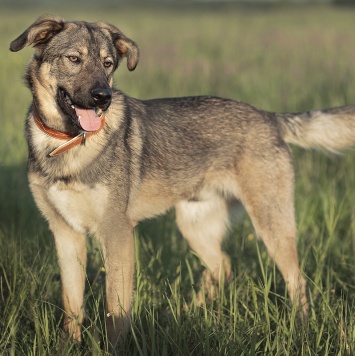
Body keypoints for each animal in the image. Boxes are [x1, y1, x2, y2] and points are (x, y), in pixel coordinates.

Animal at [9, 15, 355, 350]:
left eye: (108, 64)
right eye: (73, 59)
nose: (102, 98)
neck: (65, 142)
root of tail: (271, 118)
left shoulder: (116, 233)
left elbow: (115, 311)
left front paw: (112, 348)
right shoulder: (65, 234)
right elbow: (72, 305)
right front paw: (67, 346)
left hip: (271, 223)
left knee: (296, 279)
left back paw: (301, 330)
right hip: (194, 225)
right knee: (221, 267)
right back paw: (190, 315)